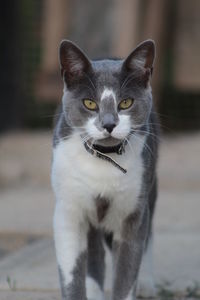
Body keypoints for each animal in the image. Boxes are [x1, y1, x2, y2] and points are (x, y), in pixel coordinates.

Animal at [51, 39, 159, 300]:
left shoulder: (133, 210)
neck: (104, 159)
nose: (109, 124)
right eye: (89, 103)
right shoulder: (68, 211)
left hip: (150, 187)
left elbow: (127, 271)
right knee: (94, 252)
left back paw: (147, 285)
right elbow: (72, 273)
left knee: (148, 235)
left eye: (126, 102)